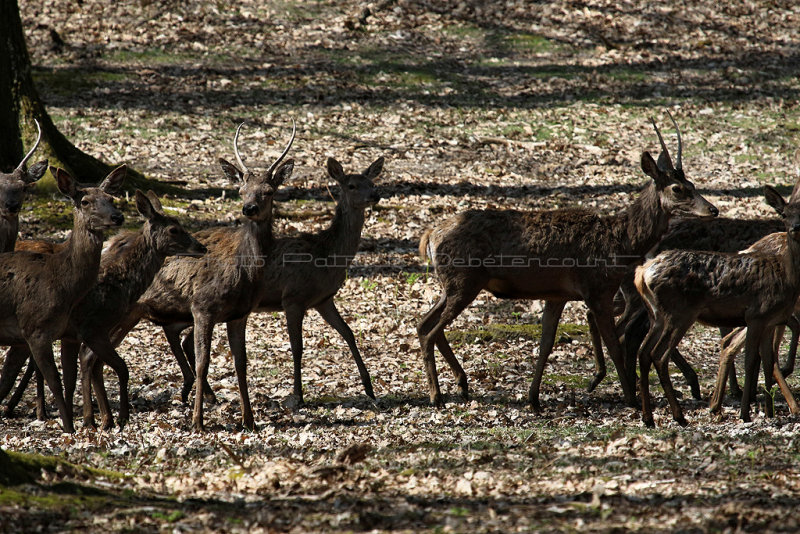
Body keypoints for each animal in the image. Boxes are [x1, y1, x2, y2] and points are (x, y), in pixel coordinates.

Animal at [0, 166, 125, 436]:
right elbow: (54, 380)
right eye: (85, 201)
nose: (117, 217)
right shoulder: (34, 328)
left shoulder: (56, 332)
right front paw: (68, 428)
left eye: (111, 198)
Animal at [107, 123, 294, 434]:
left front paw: (249, 420)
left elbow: (241, 364)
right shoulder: (202, 306)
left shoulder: (240, 314)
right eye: (241, 190)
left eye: (268, 191)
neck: (246, 271)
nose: (249, 209)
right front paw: (198, 422)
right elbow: (204, 362)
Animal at [173, 157, 384, 408]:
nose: (375, 194)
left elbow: (348, 332)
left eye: (371, 182)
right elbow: (297, 347)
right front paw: (297, 396)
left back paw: (206, 393)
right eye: (351, 185)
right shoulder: (293, 297)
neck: (325, 256)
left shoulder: (323, 300)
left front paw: (369, 388)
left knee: (185, 340)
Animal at [418, 115, 720, 412]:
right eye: (678, 188)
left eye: (693, 185)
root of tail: (430, 235)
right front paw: (631, 398)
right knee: (431, 330)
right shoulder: (597, 289)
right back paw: (436, 396)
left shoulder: (558, 295)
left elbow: (546, 344)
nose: (713, 209)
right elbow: (613, 343)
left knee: (423, 324)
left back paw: (462, 384)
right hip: (464, 280)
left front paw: (534, 398)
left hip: (451, 284)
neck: (621, 244)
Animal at [636, 182, 800, 430]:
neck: (788, 278)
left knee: (644, 352)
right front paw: (745, 413)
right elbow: (751, 361)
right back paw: (679, 415)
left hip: (657, 315)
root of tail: (643, 272)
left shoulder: (771, 320)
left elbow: (768, 359)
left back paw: (648, 418)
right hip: (679, 314)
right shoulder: (757, 315)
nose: (795, 228)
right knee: (659, 355)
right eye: (783, 214)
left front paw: (769, 412)